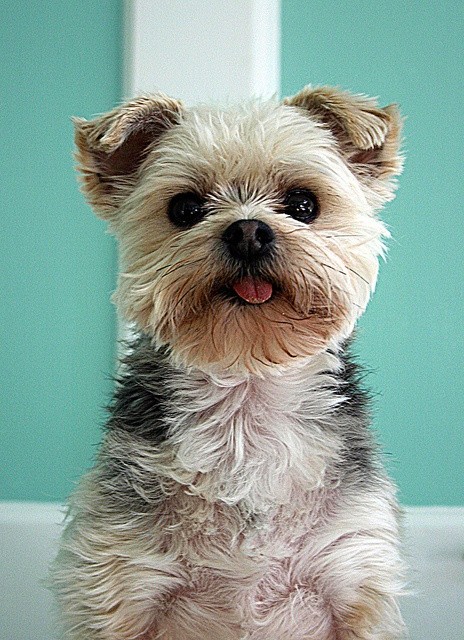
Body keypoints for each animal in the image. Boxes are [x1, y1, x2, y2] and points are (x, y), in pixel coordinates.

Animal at [51, 86, 406, 640]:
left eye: (303, 204)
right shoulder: (118, 584)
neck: (245, 397)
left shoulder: (355, 575)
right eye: (185, 208)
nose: (248, 232)